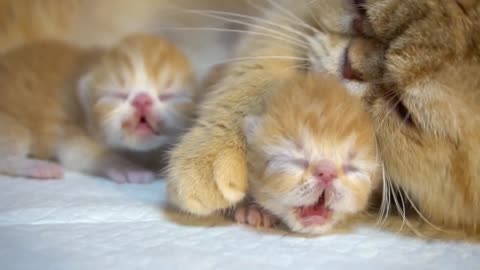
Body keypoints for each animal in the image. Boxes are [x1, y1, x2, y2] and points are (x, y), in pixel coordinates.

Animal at [0, 33, 197, 181]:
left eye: (168, 96)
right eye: (118, 95)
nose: (142, 100)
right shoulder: (72, 128)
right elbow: (82, 153)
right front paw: (128, 168)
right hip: (9, 123)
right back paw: (38, 167)